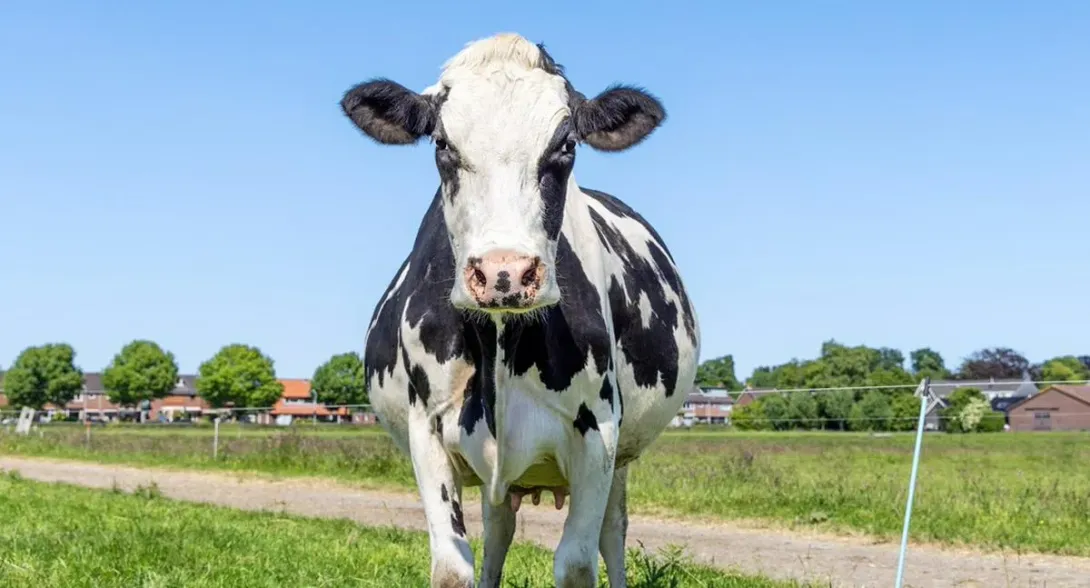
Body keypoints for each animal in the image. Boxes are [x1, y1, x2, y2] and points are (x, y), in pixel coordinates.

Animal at [337, 33, 697, 588]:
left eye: (566, 146)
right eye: (442, 144)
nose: (503, 272)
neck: (500, 341)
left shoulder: (599, 433)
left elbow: (577, 563)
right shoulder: (427, 430)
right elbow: (454, 565)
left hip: (621, 457)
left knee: (612, 532)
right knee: (499, 529)